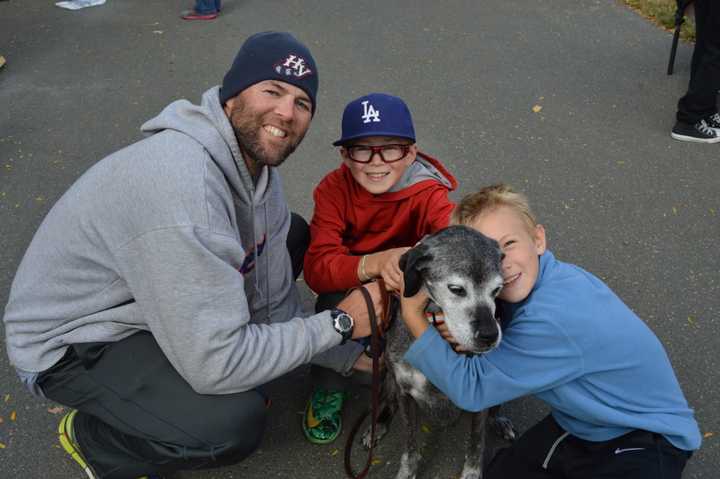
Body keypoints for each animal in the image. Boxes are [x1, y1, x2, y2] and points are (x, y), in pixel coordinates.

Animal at [362, 225, 516, 479]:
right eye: (456, 289)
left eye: (497, 289)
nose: (489, 335)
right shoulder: (405, 392)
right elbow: (410, 442)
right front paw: (407, 471)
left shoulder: (479, 398)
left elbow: (476, 442)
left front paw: (472, 473)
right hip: (388, 376)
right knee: (388, 401)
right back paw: (378, 425)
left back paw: (500, 421)